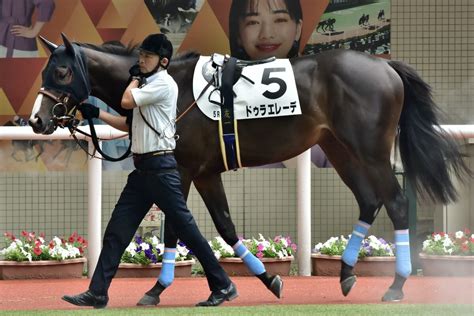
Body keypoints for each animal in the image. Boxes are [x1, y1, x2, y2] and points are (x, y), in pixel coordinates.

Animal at [28, 33, 470, 302]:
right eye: (44, 71)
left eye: (62, 71)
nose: (36, 121)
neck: (166, 82)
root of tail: (386, 65)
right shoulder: (206, 172)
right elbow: (222, 226)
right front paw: (258, 280)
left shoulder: (184, 168)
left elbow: (176, 228)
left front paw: (158, 288)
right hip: (339, 148)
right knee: (368, 200)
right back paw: (346, 272)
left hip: (371, 150)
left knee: (395, 203)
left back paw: (396, 284)